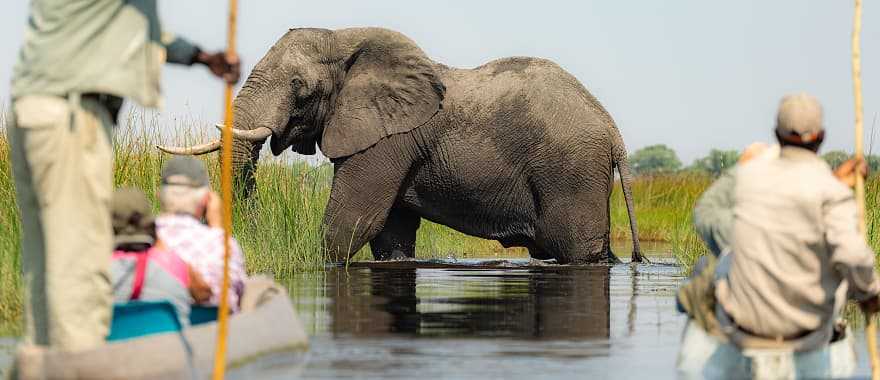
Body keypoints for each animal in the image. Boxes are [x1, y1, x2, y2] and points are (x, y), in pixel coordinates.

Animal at [158, 26, 640, 264]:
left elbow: (354, 220)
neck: (347, 40)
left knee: (577, 249)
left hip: (569, 171)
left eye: (298, 86)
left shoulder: (389, 139)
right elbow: (390, 233)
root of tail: (613, 130)